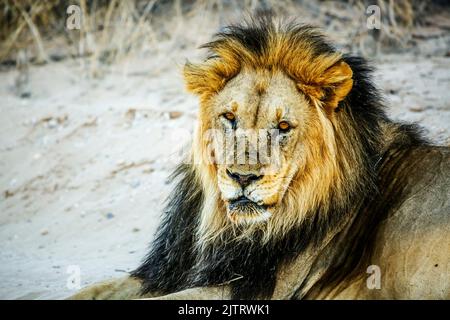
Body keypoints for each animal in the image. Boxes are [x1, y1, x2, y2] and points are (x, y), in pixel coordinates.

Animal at [71, 18, 450, 300]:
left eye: (283, 127)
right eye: (229, 118)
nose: (242, 177)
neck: (226, 227)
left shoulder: (256, 288)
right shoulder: (166, 271)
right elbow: (93, 290)